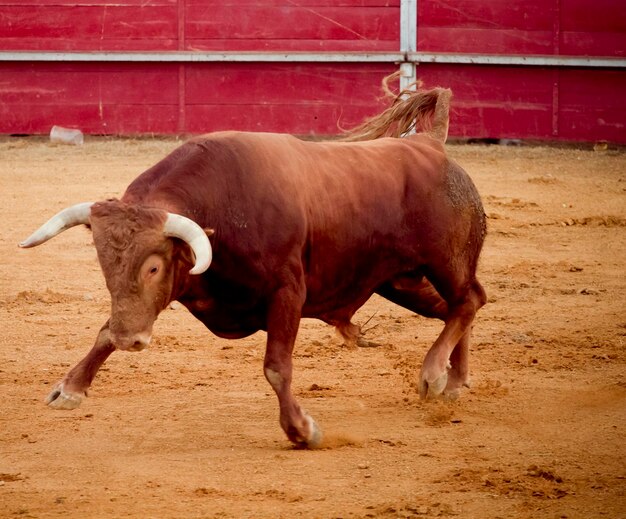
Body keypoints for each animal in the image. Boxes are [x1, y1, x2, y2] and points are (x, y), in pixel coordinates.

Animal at [19, 79, 486, 448]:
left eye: (153, 267)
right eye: (104, 262)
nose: (130, 340)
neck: (220, 208)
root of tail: (431, 145)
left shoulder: (288, 291)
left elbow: (276, 367)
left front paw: (301, 430)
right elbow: (103, 330)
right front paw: (69, 389)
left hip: (446, 260)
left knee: (468, 300)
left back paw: (433, 375)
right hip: (400, 281)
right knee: (454, 308)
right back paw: (455, 381)